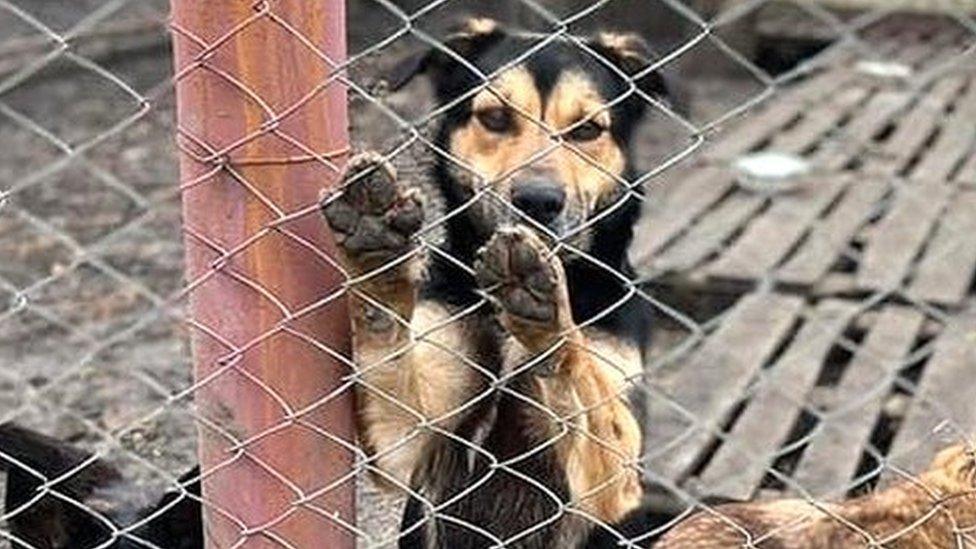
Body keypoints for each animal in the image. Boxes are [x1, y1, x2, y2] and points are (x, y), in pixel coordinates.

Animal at [320, 16, 672, 544]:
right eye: (495, 118)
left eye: (588, 130)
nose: (539, 201)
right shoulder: (405, 437)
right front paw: (375, 244)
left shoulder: (614, 477)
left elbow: (583, 382)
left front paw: (548, 316)